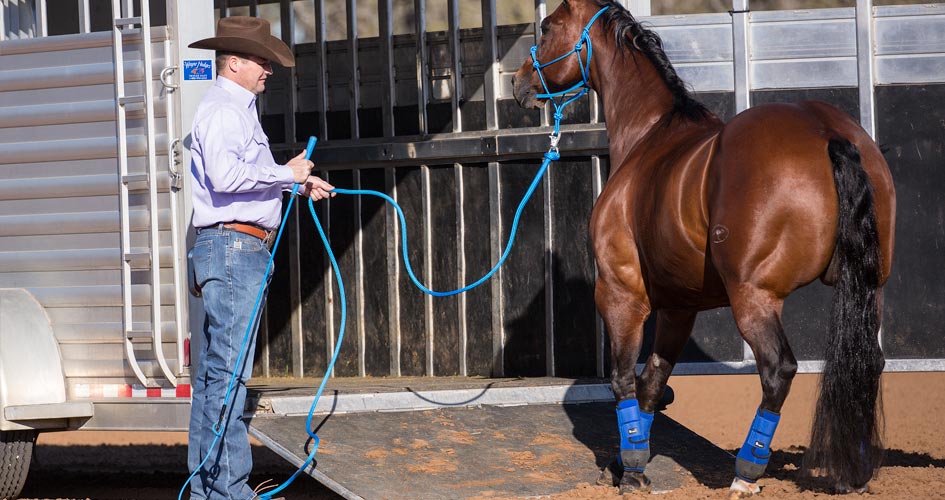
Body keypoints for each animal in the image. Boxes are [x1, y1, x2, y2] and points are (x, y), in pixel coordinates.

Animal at [512, 0, 896, 497]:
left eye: (546, 27)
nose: (519, 82)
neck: (650, 136)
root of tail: (828, 133)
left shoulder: (620, 293)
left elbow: (623, 379)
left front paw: (631, 469)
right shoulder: (679, 307)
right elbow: (653, 382)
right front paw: (625, 460)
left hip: (754, 299)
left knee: (778, 370)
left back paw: (747, 473)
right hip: (869, 290)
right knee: (867, 364)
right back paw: (854, 471)